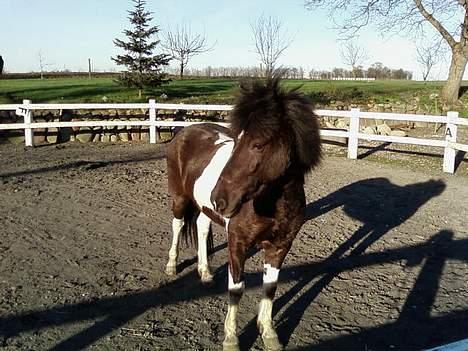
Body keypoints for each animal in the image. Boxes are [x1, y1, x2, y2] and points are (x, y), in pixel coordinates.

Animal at [165, 75, 322, 350]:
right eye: (236, 141)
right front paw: (231, 339)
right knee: (178, 225)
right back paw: (172, 266)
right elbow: (236, 288)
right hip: (180, 199)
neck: (273, 203)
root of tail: (184, 131)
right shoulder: (237, 242)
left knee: (202, 227)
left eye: (258, 145)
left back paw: (205, 272)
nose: (220, 199)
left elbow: (270, 288)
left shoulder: (280, 246)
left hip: (204, 208)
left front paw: (269, 334)